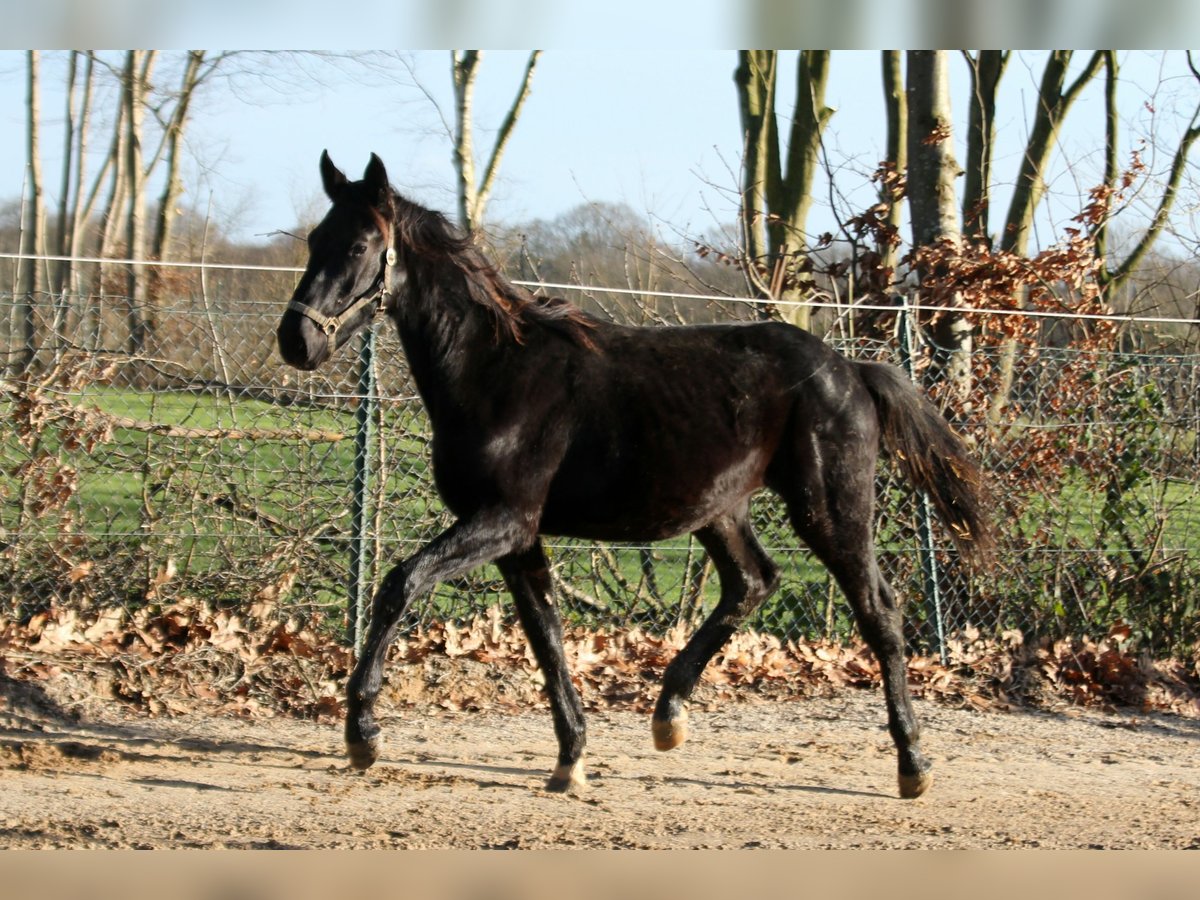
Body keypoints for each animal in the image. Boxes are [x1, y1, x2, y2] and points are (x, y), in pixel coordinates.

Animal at [280, 151, 993, 801]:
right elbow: (546, 636)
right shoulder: (517, 537)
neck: (496, 373)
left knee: (878, 612)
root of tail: (852, 371)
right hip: (719, 509)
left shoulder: (502, 520)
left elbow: (399, 585)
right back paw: (668, 715)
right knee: (754, 582)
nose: (297, 341)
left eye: (361, 244)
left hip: (831, 510)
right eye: (315, 240)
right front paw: (570, 759)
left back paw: (912, 764)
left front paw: (363, 734)